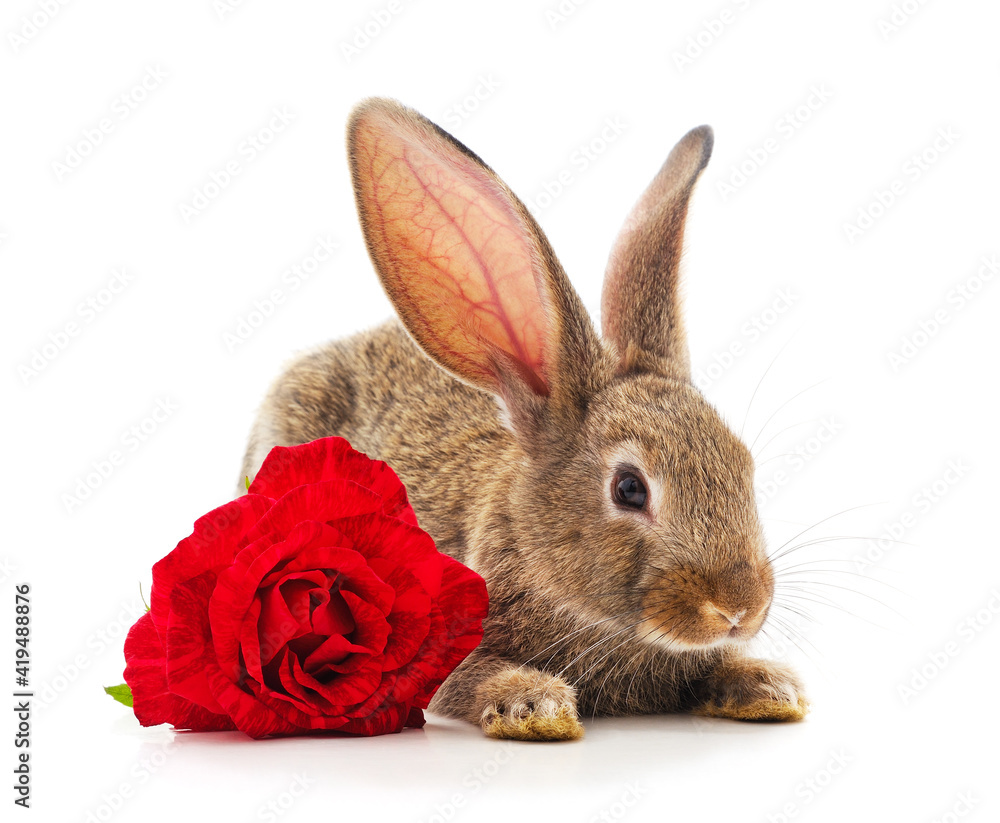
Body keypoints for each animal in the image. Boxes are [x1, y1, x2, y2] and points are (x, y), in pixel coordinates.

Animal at [239, 97, 807, 741]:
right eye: (629, 489)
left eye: (746, 467)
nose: (740, 608)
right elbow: (473, 677)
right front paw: (534, 705)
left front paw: (769, 686)